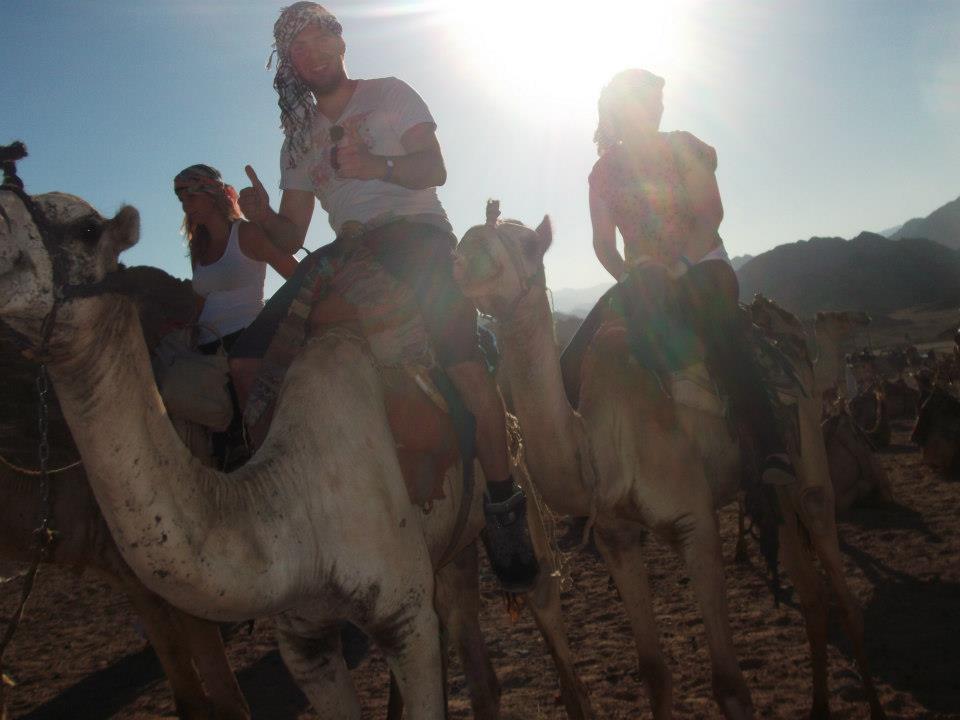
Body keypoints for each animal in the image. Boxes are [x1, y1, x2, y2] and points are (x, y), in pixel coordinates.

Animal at [0, 160, 592, 716]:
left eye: (87, 228)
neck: (294, 509)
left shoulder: (405, 619)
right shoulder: (304, 640)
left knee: (548, 609)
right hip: (451, 547)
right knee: (478, 658)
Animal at [450, 210, 884, 720]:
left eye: (527, 244)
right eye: (471, 235)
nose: (466, 254)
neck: (600, 445)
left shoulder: (693, 522)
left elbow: (730, 685)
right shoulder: (616, 535)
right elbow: (654, 672)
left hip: (810, 455)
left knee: (837, 573)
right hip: (773, 491)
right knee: (812, 595)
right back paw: (818, 705)